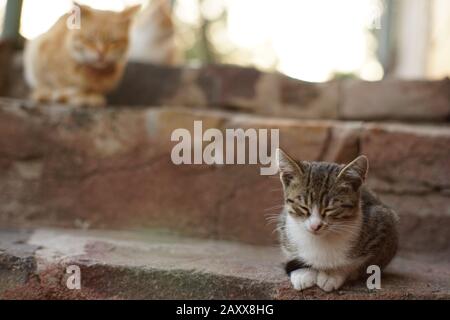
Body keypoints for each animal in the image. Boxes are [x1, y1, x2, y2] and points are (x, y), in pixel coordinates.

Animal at [274, 149, 398, 292]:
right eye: (303, 207)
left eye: (330, 208)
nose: (315, 226)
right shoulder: (284, 225)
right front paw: (303, 272)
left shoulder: (385, 226)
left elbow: (361, 264)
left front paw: (333, 274)